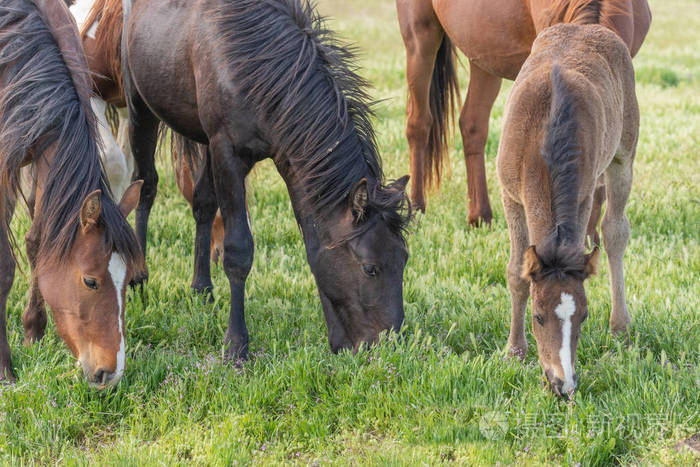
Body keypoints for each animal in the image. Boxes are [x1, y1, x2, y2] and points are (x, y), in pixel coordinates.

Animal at [0, 0, 142, 388]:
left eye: (128, 281)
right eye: (90, 281)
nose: (110, 373)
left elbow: (38, 241)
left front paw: (33, 329)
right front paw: (5, 369)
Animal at [123, 0, 412, 362]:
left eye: (404, 259)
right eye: (370, 268)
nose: (389, 347)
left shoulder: (232, 150)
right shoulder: (228, 151)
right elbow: (238, 251)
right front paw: (236, 345)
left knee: (202, 204)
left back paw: (201, 289)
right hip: (140, 108)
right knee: (145, 185)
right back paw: (138, 279)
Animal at [396, 0, 648, 227]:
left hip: (483, 58)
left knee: (472, 125)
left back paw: (480, 217)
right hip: (421, 39)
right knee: (419, 124)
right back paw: (416, 208)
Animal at [498, 19, 640, 398]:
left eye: (584, 316)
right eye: (538, 315)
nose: (562, 384)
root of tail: (585, 25)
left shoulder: (585, 194)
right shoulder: (509, 196)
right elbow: (516, 271)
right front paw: (514, 351)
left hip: (623, 155)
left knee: (614, 231)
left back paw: (620, 325)